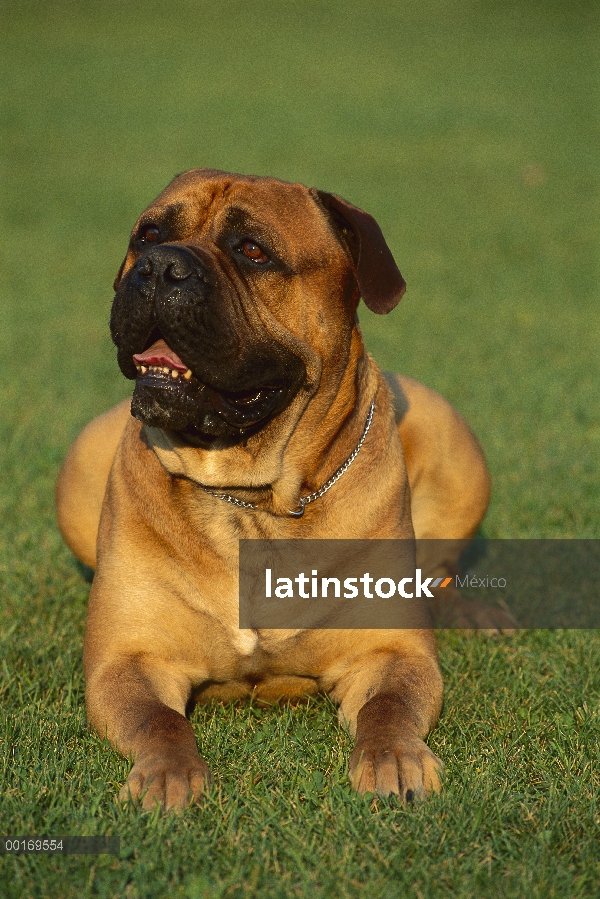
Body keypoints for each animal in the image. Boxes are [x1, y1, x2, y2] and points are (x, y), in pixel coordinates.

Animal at [56, 167, 506, 808]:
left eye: (252, 251)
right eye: (148, 235)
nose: (161, 266)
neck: (252, 493)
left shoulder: (390, 652)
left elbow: (390, 708)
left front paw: (394, 759)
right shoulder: (128, 660)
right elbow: (158, 720)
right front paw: (167, 775)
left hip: (455, 439)